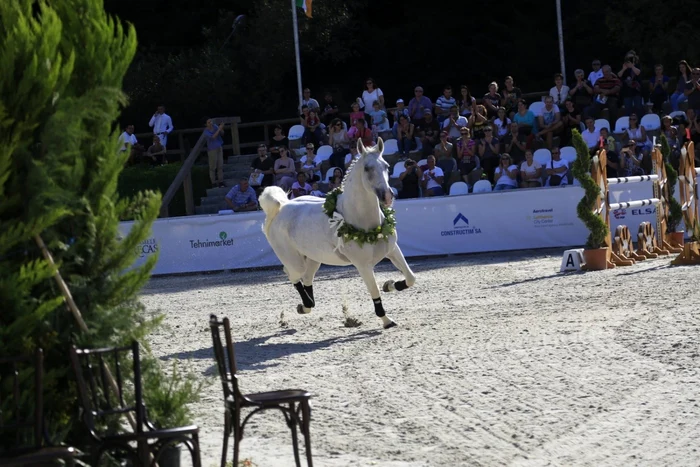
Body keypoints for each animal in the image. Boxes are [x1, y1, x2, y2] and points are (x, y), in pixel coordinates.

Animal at [262, 138, 416, 330]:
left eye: (387, 166)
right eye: (367, 168)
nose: (387, 197)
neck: (365, 223)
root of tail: (281, 207)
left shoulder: (393, 250)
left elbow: (410, 278)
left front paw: (389, 285)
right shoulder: (363, 266)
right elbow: (374, 292)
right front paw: (387, 321)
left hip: (313, 259)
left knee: (306, 278)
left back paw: (305, 306)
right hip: (295, 261)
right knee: (293, 275)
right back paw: (304, 305)